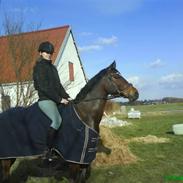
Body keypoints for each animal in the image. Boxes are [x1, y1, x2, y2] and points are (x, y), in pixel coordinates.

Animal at [0, 61, 137, 182]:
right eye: (116, 76)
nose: (135, 93)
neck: (84, 115)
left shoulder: (84, 161)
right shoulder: (73, 161)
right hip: (6, 158)